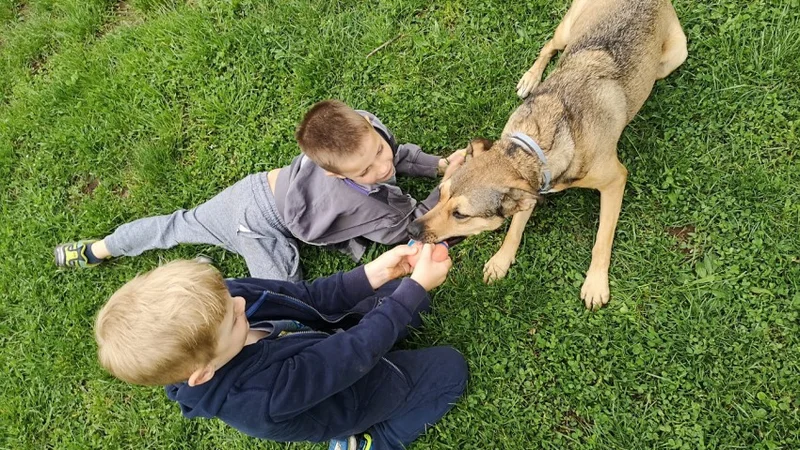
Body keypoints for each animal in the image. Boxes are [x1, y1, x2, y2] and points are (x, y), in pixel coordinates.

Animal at [410, 0, 684, 310]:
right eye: (441, 192)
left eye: (460, 214)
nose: (412, 230)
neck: (537, 146)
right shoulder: (529, 188)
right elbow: (515, 228)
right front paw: (502, 260)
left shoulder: (615, 181)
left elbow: (603, 238)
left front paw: (595, 283)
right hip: (568, 30)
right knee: (549, 46)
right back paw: (530, 79)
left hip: (673, 57)